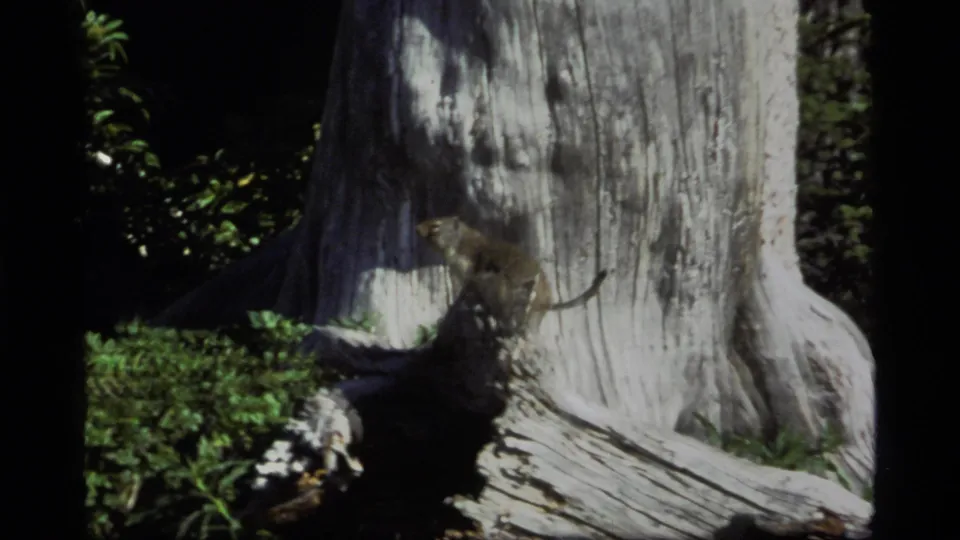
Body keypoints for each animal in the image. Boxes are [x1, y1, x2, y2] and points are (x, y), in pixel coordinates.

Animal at [416, 216, 608, 332]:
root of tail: (546, 302)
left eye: (435, 226)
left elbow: (465, 294)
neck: (460, 242)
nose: (417, 227)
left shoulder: (471, 274)